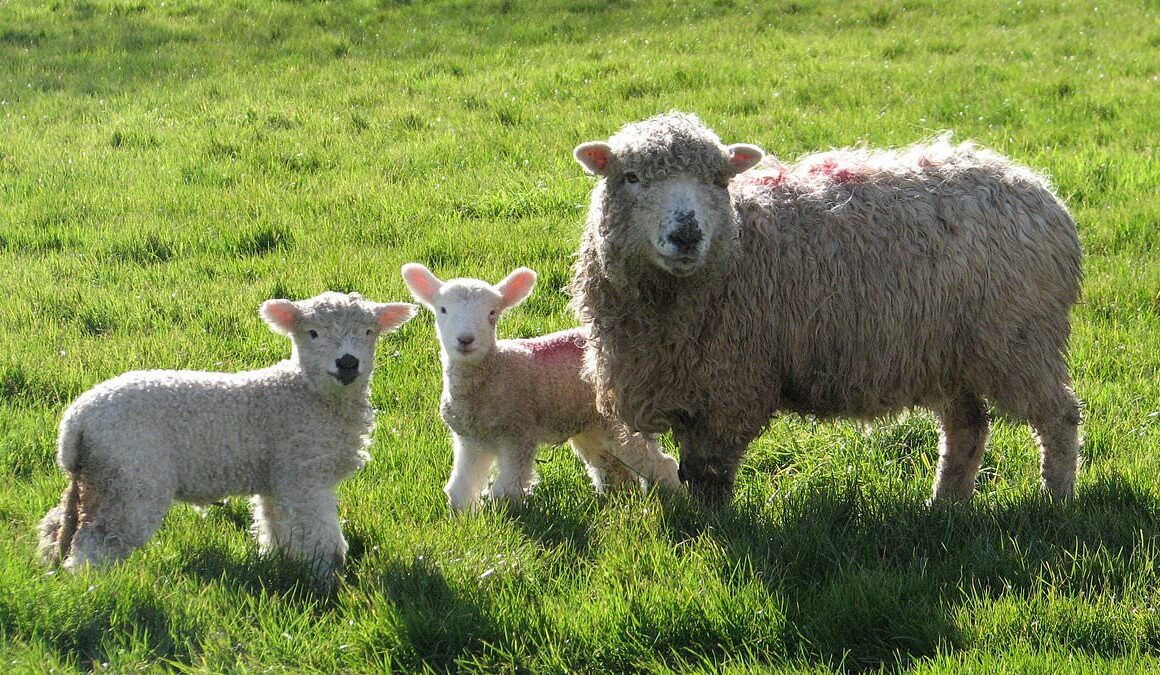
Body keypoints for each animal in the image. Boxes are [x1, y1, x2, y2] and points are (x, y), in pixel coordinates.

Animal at [37, 292, 417, 586]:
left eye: (368, 331)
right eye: (312, 333)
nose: (348, 363)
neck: (305, 393)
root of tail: (76, 422)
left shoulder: (277, 477)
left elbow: (275, 524)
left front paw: (280, 561)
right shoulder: (302, 474)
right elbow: (316, 532)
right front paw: (325, 575)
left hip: (99, 477)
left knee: (59, 525)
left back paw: (51, 565)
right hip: (133, 477)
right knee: (98, 540)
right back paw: (91, 585)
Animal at [403, 264, 682, 512]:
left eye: (492, 313)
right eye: (442, 310)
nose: (465, 339)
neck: (495, 371)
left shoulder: (518, 432)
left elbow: (508, 488)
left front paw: (499, 511)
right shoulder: (470, 440)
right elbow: (461, 487)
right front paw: (464, 517)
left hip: (621, 418)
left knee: (659, 462)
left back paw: (676, 499)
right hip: (591, 422)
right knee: (613, 468)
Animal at [566, 113, 1081, 507]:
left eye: (718, 179)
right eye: (632, 177)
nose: (686, 235)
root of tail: (1037, 188)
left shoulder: (732, 385)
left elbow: (708, 472)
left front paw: (711, 530)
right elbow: (692, 470)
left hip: (1018, 340)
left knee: (1059, 416)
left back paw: (1056, 499)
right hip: (948, 351)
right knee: (967, 428)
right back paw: (946, 505)